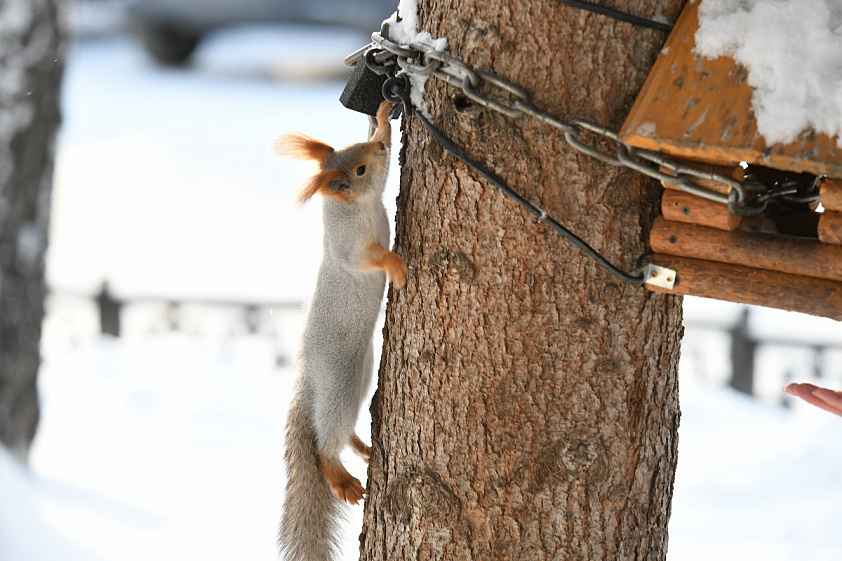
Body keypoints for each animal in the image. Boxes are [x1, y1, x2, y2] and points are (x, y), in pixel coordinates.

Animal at [274, 101, 406, 560]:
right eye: (361, 170)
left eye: (359, 150)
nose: (382, 147)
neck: (353, 208)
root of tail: (309, 376)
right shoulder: (349, 250)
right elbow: (369, 259)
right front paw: (395, 265)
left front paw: (383, 120)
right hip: (341, 380)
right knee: (323, 441)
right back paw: (340, 476)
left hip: (363, 372)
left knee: (341, 430)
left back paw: (364, 448)